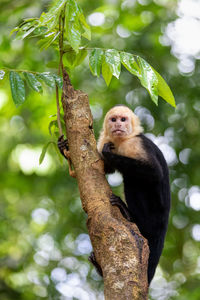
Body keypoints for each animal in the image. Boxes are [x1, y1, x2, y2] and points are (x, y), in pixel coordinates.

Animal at [97, 105, 170, 284]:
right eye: (113, 119)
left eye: (123, 119)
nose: (118, 125)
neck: (121, 141)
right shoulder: (104, 140)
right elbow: (104, 168)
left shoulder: (135, 143)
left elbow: (154, 173)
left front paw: (109, 154)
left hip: (153, 214)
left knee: (133, 180)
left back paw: (129, 214)